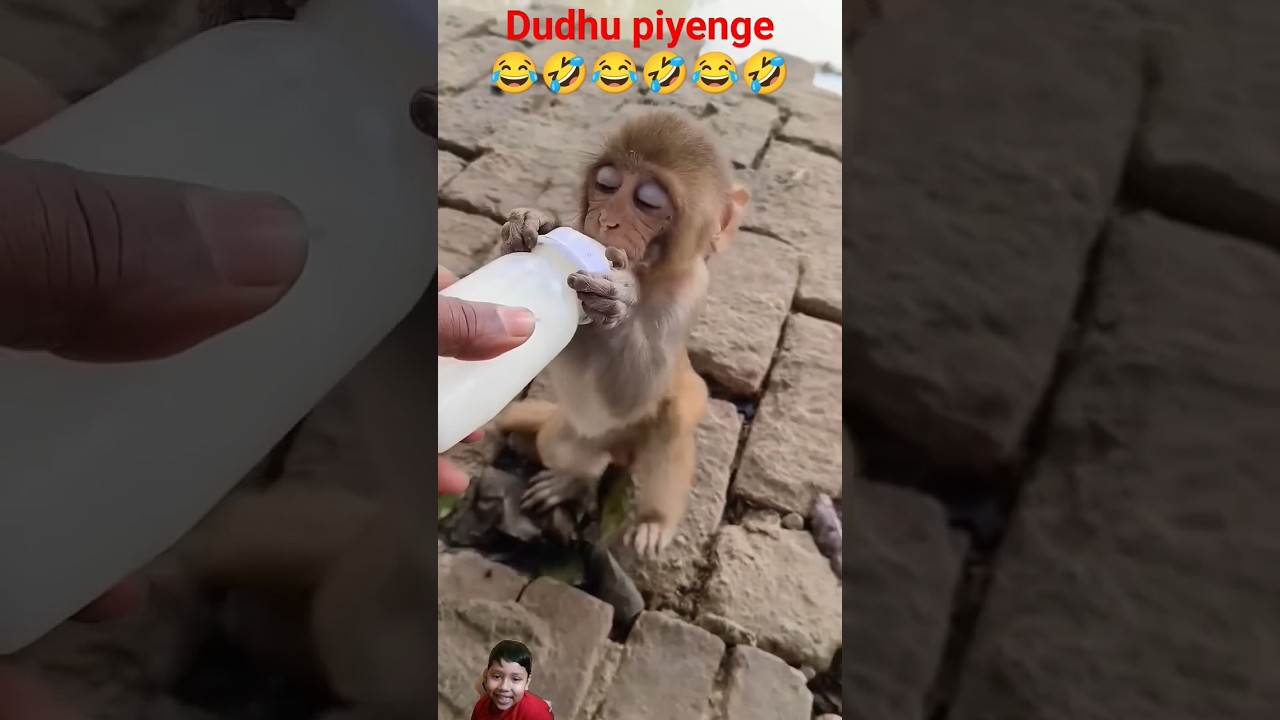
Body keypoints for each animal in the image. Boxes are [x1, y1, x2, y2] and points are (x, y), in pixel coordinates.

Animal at [494, 109, 749, 558]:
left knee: (673, 420)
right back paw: (576, 480)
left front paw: (617, 296)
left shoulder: (689, 294)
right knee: (565, 449)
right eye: (607, 183)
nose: (605, 221)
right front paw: (528, 227)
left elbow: (630, 397)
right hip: (571, 434)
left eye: (648, 201)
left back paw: (654, 519)